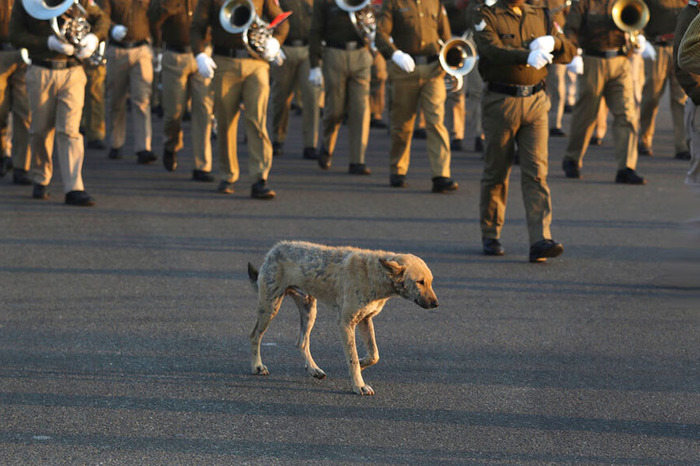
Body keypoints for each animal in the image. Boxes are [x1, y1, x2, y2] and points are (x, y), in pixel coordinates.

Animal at [249, 240, 440, 396]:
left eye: (430, 282)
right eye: (420, 282)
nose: (436, 304)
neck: (374, 274)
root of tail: (275, 249)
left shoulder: (365, 320)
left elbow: (374, 355)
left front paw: (362, 365)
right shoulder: (346, 323)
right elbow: (352, 357)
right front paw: (359, 385)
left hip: (309, 310)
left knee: (301, 342)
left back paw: (313, 369)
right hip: (270, 308)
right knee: (255, 336)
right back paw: (257, 366)